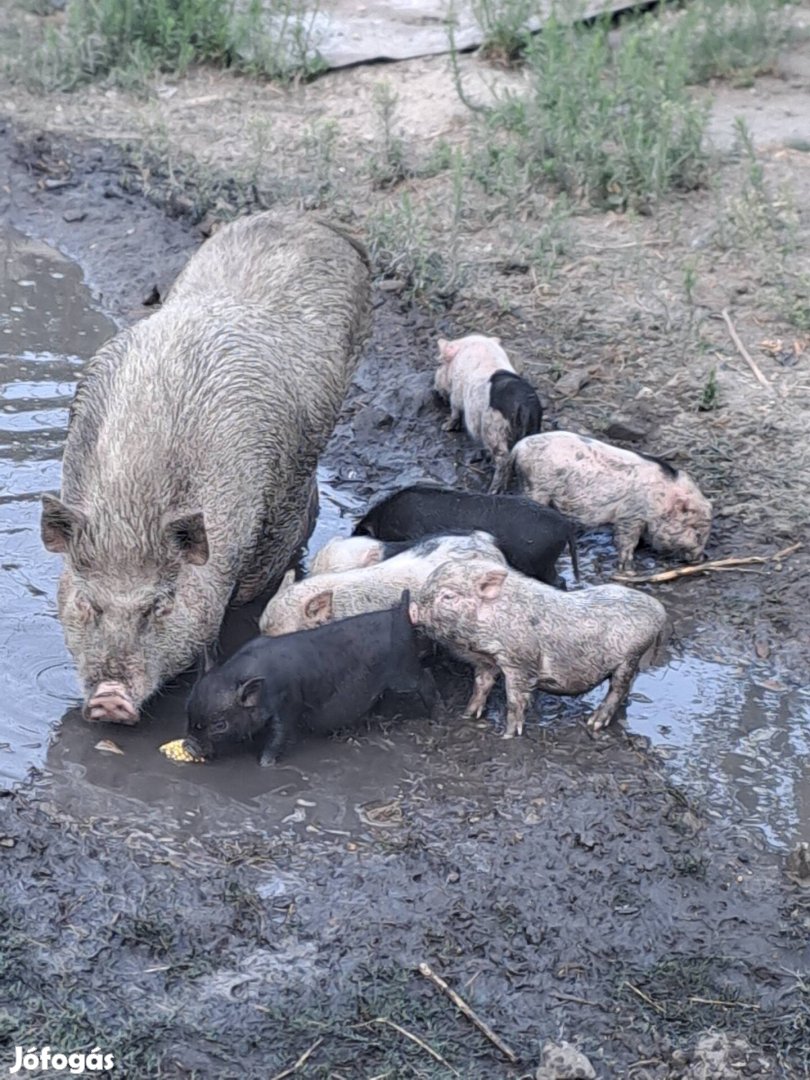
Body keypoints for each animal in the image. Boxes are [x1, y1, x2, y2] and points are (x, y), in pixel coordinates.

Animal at [408, 561, 669, 738]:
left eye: (448, 596)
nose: (411, 607)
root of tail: (659, 609)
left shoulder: (519, 661)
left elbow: (515, 700)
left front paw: (507, 735)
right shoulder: (488, 660)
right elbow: (481, 685)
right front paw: (467, 715)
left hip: (630, 656)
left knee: (618, 687)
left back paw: (593, 723)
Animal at [505, 429, 712, 570]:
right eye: (697, 533)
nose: (700, 559)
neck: (660, 500)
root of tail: (518, 447)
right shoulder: (630, 515)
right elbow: (626, 540)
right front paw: (627, 567)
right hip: (536, 487)